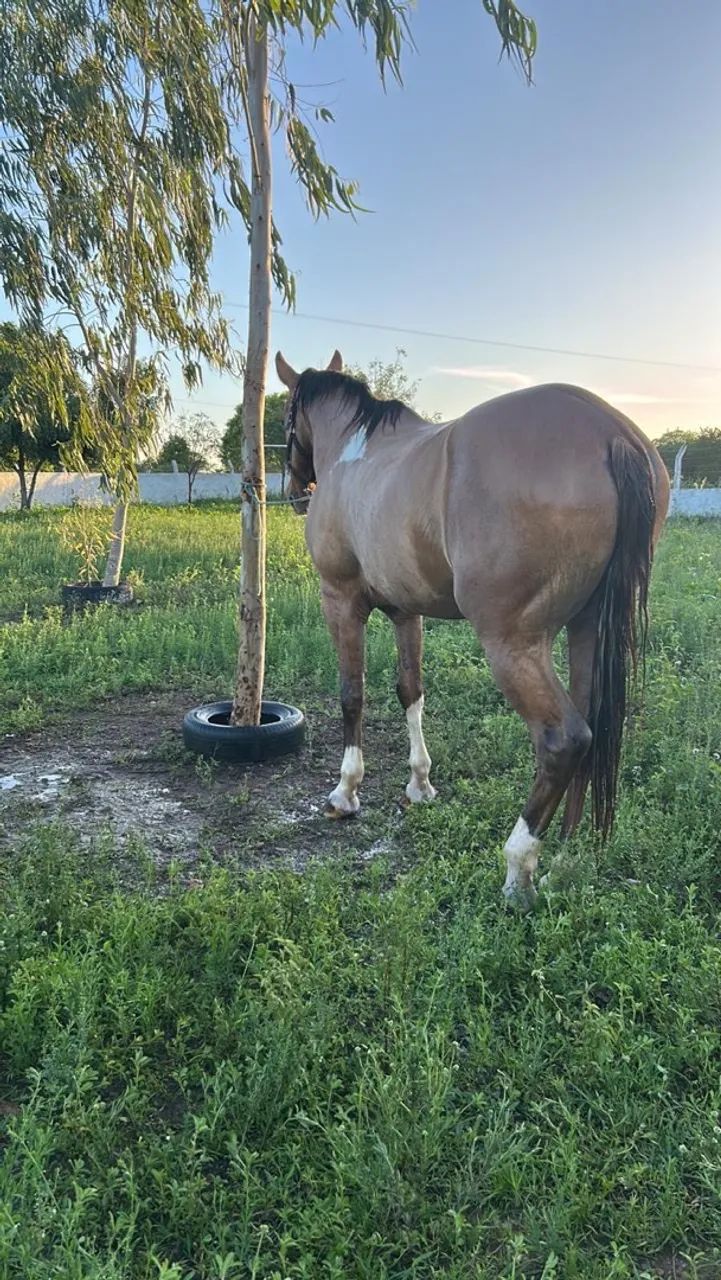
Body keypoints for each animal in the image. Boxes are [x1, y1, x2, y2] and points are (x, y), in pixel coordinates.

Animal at [276, 350, 670, 908]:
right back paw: (565, 857)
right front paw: (419, 785)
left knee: (564, 740)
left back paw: (519, 868)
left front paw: (345, 792)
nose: (294, 492)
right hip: (588, 630)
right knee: (592, 731)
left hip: (512, 643)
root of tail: (610, 432)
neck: (356, 454)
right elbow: (410, 692)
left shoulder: (341, 601)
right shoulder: (406, 611)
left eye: (286, 415)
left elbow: (352, 695)